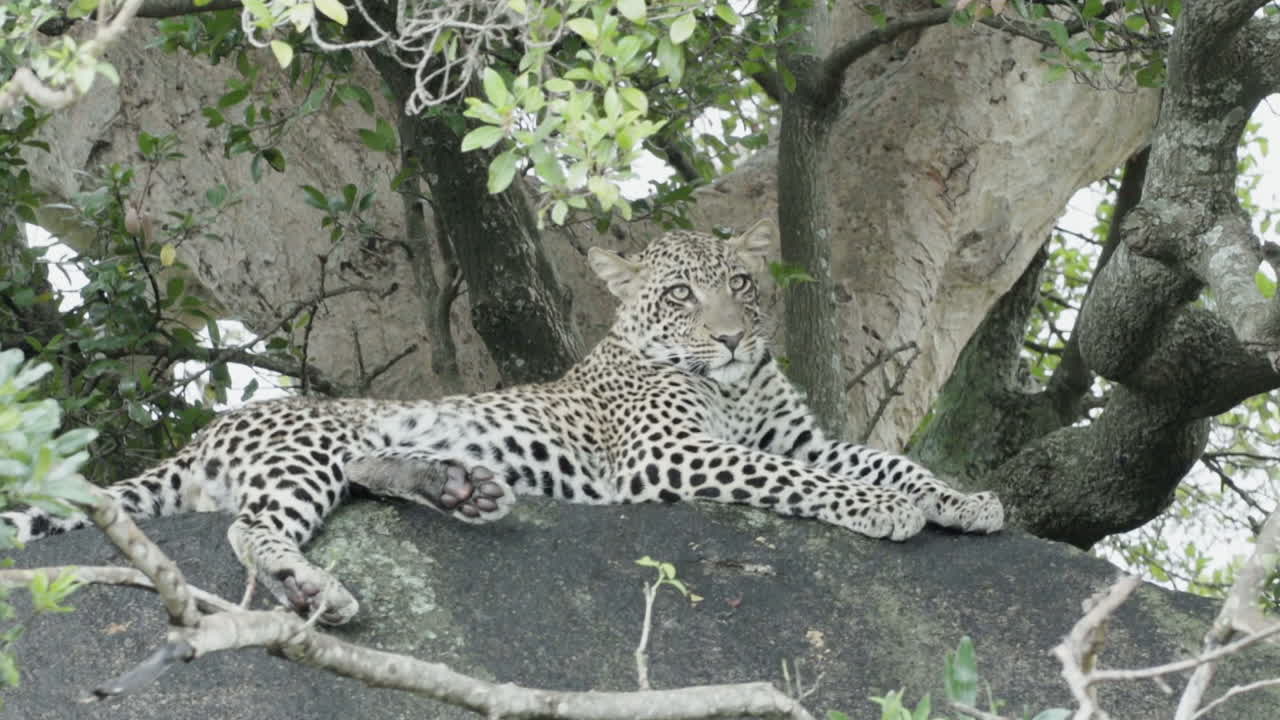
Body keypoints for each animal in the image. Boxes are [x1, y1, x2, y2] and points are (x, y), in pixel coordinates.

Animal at [3, 219, 1003, 625]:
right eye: (680, 296)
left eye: (742, 284)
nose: (729, 337)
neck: (737, 386)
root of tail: (203, 435)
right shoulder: (673, 455)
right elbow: (803, 482)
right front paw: (882, 512)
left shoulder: (798, 433)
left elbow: (882, 459)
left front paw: (965, 500)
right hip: (305, 446)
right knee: (250, 529)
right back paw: (313, 588)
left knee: (365, 474)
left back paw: (457, 485)